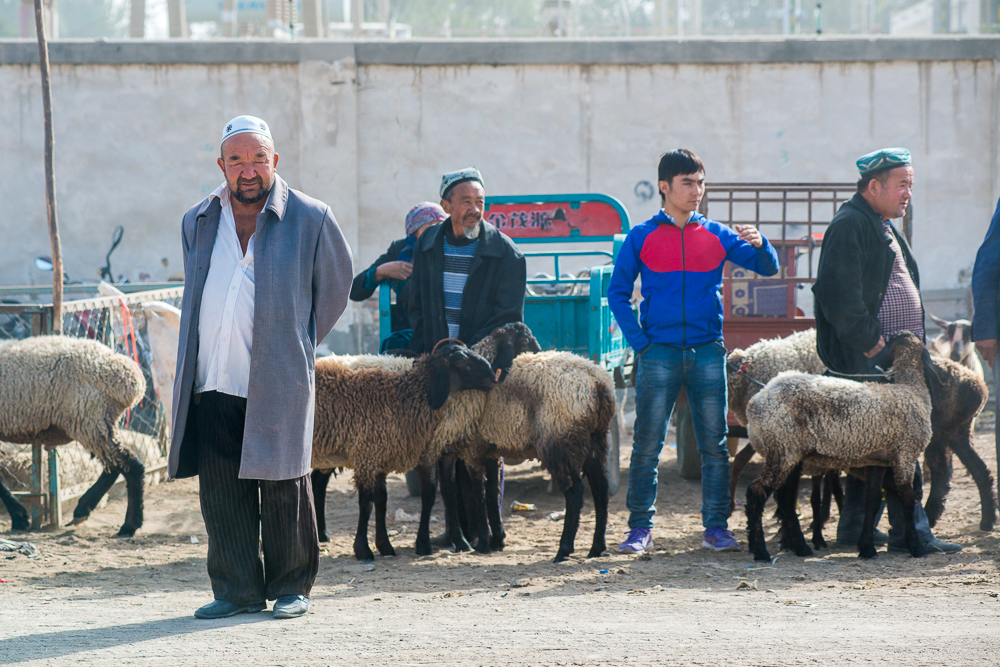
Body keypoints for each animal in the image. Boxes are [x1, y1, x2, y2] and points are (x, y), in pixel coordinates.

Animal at [0, 334, 146, 536]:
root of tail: (130, 378)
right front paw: (20, 516)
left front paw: (19, 517)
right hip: (98, 424)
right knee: (114, 466)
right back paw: (84, 509)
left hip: (89, 420)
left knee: (131, 466)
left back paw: (129, 525)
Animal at [312, 342, 500, 560]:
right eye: (462, 362)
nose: (493, 377)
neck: (404, 395)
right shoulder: (367, 455)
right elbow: (367, 503)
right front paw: (363, 549)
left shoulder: (384, 456)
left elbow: (384, 500)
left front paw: (386, 546)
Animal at [748, 332, 932, 560]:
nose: (920, 495)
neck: (912, 390)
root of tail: (756, 402)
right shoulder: (905, 454)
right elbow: (905, 499)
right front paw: (916, 547)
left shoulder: (878, 460)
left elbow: (871, 501)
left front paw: (867, 548)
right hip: (782, 448)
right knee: (757, 492)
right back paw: (761, 550)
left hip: (789, 453)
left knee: (785, 500)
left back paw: (799, 547)